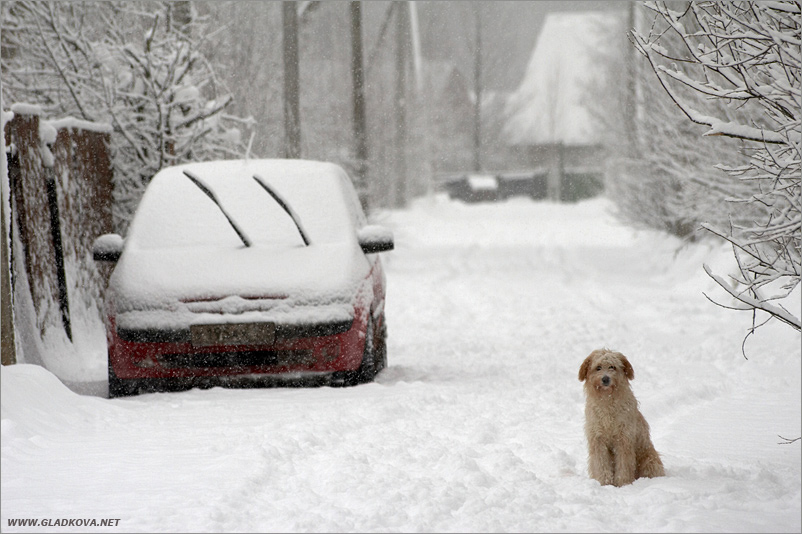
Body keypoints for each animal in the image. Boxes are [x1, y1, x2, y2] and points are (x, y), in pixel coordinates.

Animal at [576, 350, 664, 488]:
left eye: (612, 367)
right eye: (598, 367)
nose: (605, 379)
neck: (607, 401)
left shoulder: (623, 439)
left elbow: (624, 464)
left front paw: (623, 484)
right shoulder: (598, 439)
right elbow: (601, 464)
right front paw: (605, 483)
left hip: (649, 460)